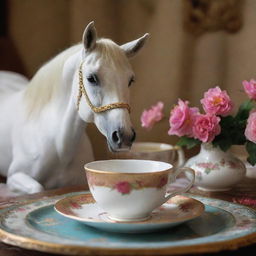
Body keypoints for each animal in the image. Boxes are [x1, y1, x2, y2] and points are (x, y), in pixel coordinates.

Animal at [0, 21, 149, 194]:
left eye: (130, 80)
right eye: (91, 78)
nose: (124, 136)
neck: (60, 148)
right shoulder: (15, 175)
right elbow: (38, 188)